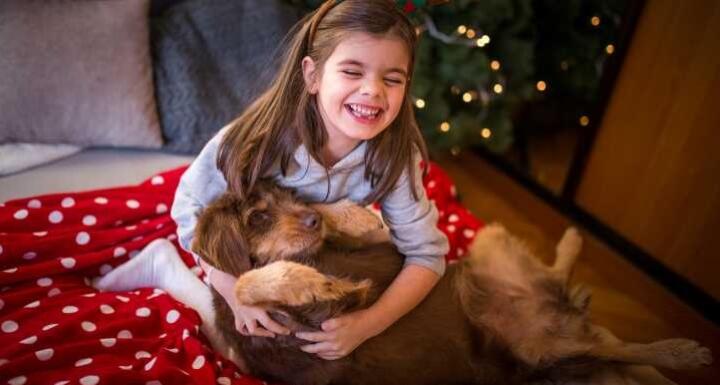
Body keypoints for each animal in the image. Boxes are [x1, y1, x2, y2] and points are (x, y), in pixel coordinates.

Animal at [188, 182, 712, 384]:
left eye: (291, 195)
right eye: (258, 217)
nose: (310, 219)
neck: (315, 255)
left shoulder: (389, 243)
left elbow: (375, 229)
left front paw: (347, 212)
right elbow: (243, 283)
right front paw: (302, 281)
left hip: (487, 244)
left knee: (587, 316)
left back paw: (573, 244)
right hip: (544, 351)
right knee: (608, 348)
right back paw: (683, 352)